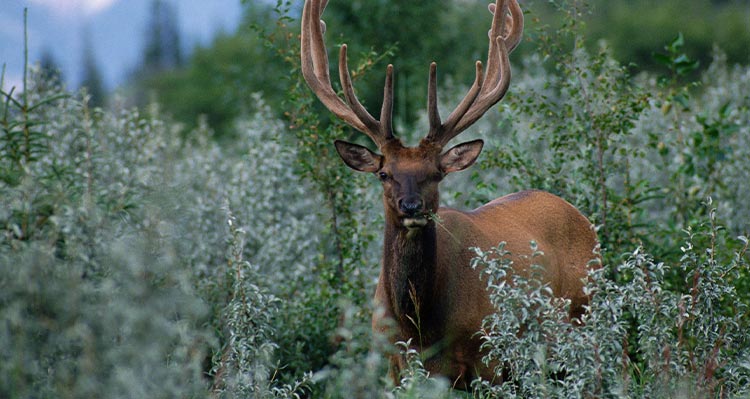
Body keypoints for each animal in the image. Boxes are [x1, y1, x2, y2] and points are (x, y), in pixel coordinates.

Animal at [300, 0, 600, 390]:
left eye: (436, 174)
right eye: (384, 174)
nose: (412, 206)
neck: (419, 327)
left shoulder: (489, 357)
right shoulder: (392, 364)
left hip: (587, 315)